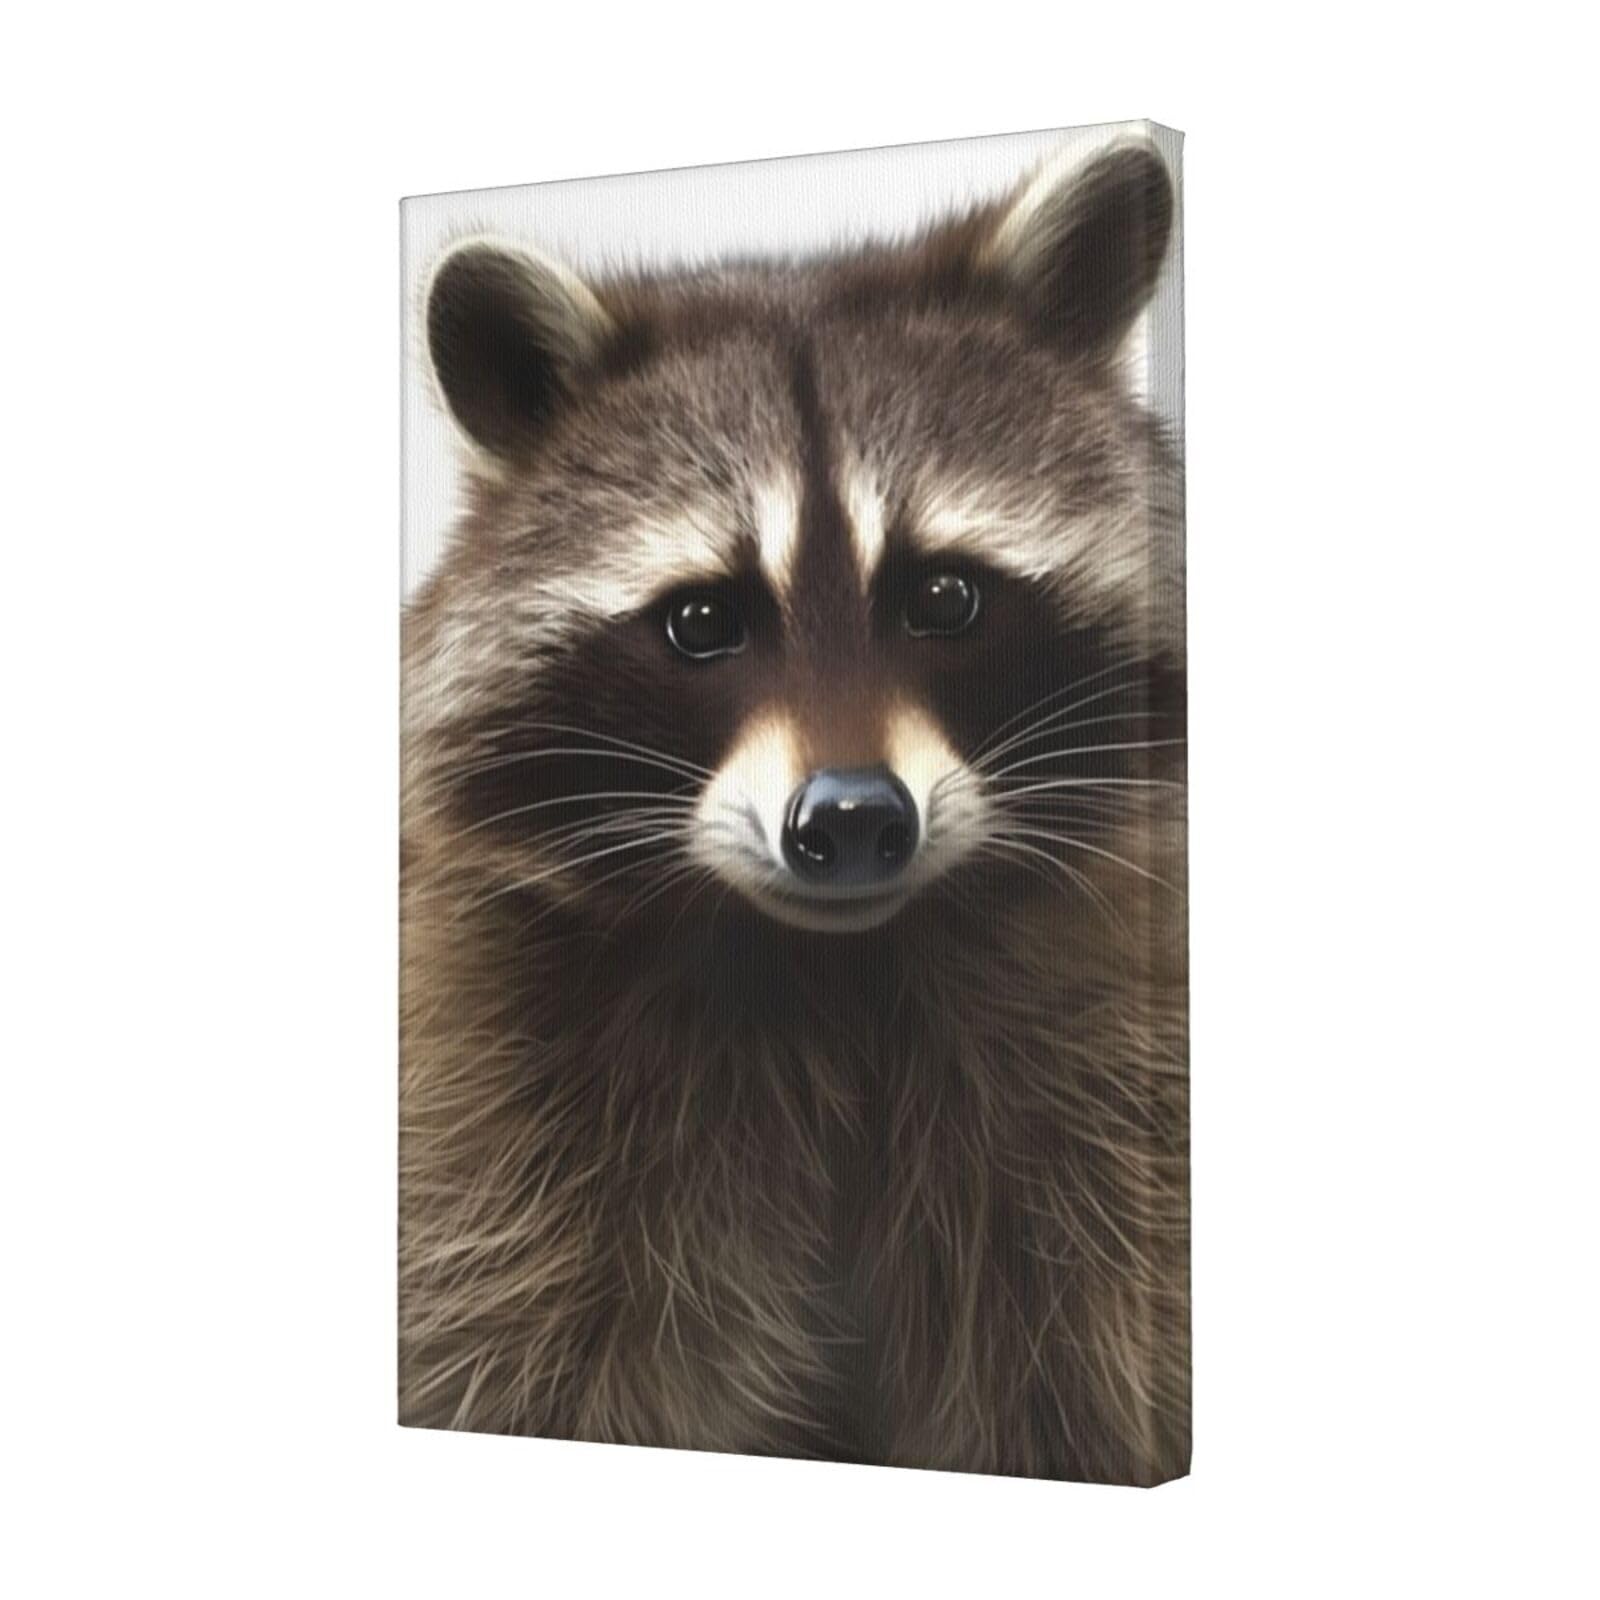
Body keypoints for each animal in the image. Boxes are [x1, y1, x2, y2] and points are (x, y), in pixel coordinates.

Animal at [401, 139, 1188, 1485]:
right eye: (702, 620)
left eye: (944, 596)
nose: (854, 817)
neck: (836, 971)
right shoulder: (502, 1110)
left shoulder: (1109, 1084)